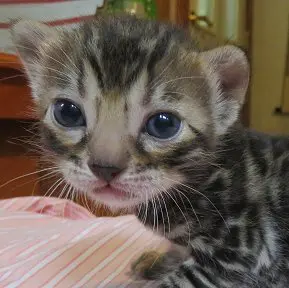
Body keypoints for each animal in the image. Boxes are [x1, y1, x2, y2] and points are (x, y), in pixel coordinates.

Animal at [11, 16, 289, 288]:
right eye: (67, 112)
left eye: (163, 124)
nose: (105, 168)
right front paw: (158, 260)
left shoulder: (243, 252)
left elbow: (181, 280)